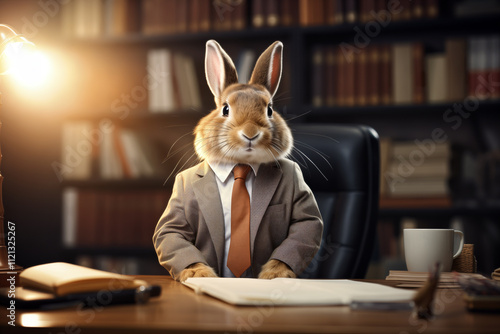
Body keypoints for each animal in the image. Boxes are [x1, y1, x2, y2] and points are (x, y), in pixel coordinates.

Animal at [153, 40, 324, 284]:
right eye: (225, 109)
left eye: (269, 110)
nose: (251, 133)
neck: (240, 163)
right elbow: (171, 233)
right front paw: (199, 274)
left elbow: (304, 226)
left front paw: (275, 274)